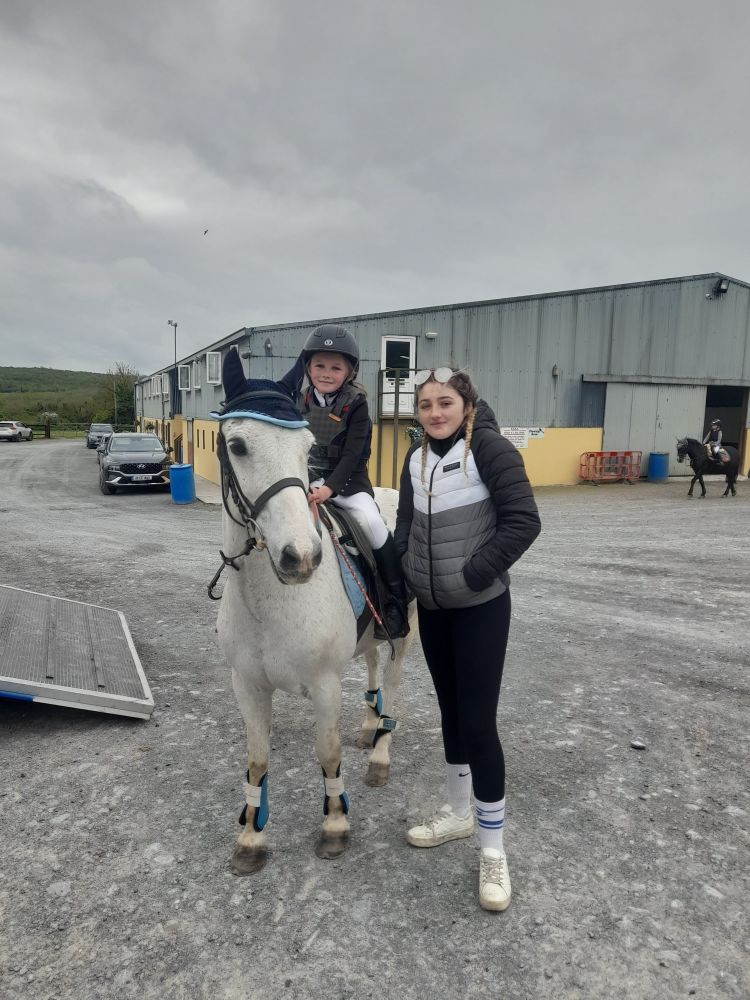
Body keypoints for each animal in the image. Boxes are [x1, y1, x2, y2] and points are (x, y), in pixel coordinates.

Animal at [213, 414, 418, 876]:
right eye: (237, 445)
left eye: (308, 448)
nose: (301, 556)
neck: (270, 600)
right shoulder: (247, 685)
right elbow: (257, 759)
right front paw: (250, 838)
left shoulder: (325, 685)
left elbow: (327, 752)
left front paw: (335, 826)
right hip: (368, 635)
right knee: (374, 663)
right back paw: (368, 725)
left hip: (401, 633)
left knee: (394, 683)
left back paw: (380, 753)